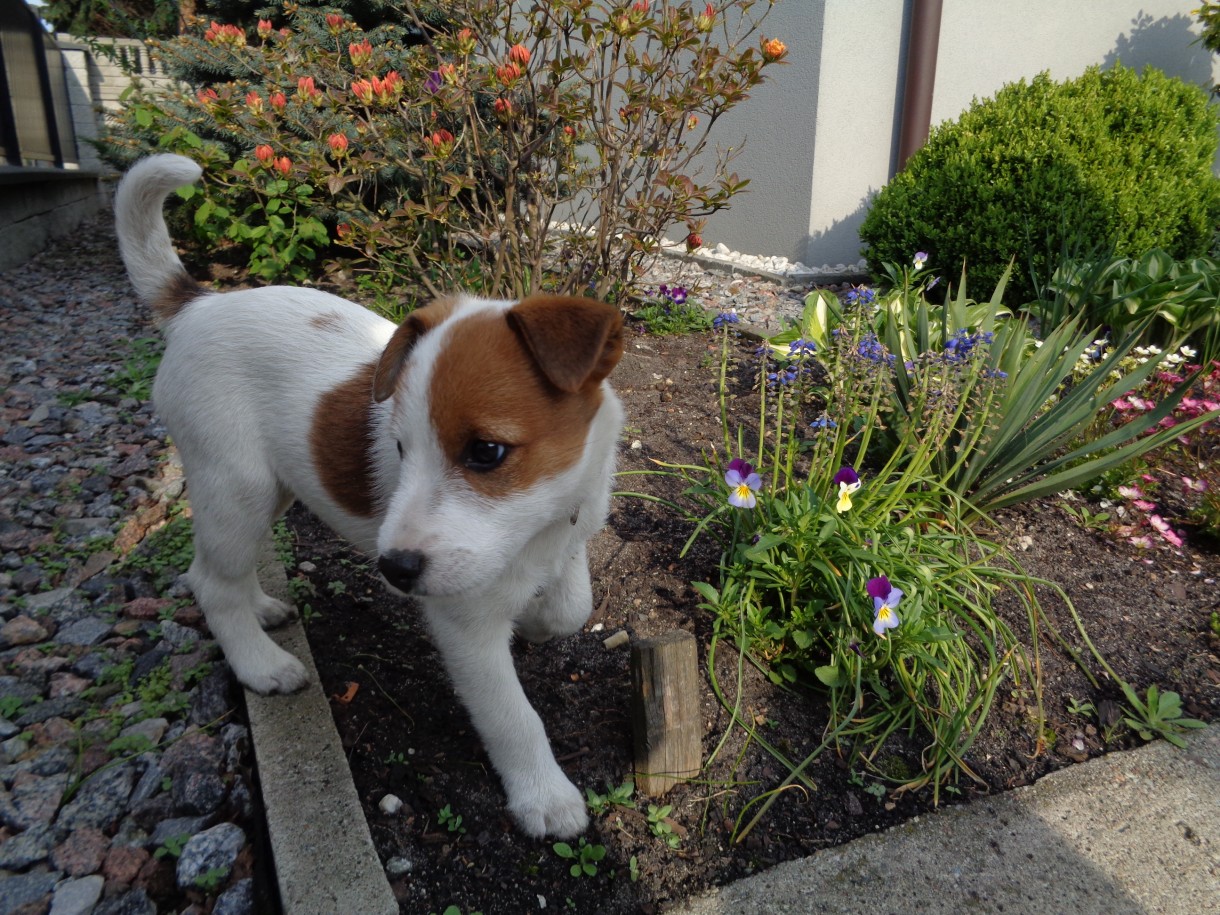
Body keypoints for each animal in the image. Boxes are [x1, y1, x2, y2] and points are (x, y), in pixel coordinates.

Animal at [114, 154, 624, 844]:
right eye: (401, 448)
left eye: (486, 452)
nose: (394, 570)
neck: (538, 528)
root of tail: (198, 306)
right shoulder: (465, 627)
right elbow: (513, 716)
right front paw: (544, 796)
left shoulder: (573, 528)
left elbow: (573, 605)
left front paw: (543, 618)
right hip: (235, 488)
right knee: (209, 582)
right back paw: (261, 664)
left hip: (270, 491)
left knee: (230, 572)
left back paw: (263, 608)